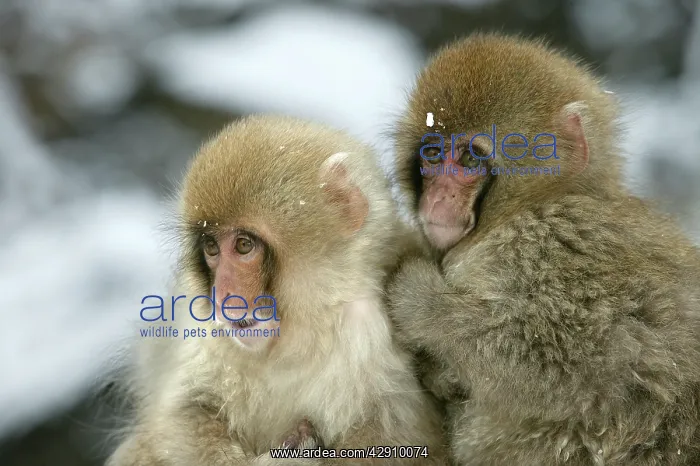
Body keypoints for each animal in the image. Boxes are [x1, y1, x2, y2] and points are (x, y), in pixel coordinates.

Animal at [106, 114, 449, 466]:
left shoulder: (374, 332)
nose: (221, 294)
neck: (305, 329)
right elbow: (186, 412)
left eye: (244, 245)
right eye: (212, 248)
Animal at [386, 33, 700, 466]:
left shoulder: (547, 240)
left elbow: (573, 360)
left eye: (469, 157)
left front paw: (420, 301)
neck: (535, 200)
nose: (438, 198)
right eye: (432, 154)